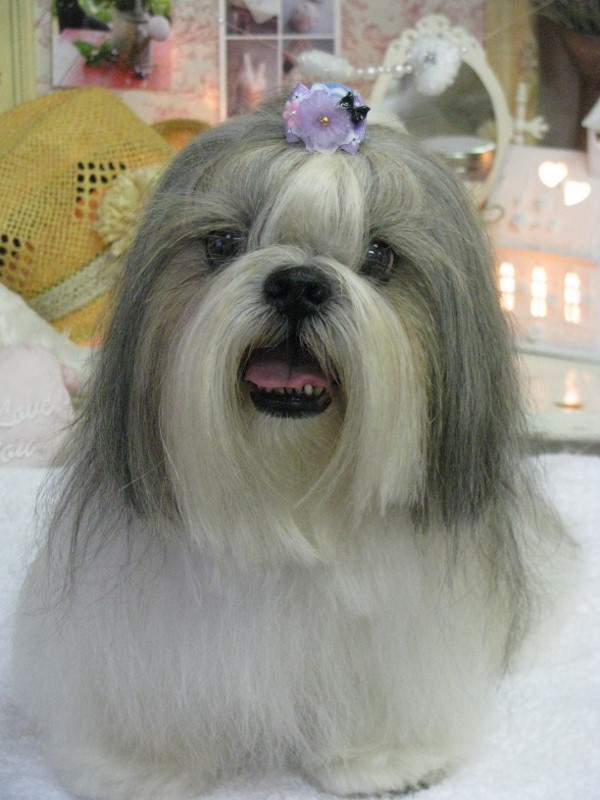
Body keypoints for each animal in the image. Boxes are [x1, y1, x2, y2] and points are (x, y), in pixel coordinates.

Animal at [14, 85, 574, 799]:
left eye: (379, 256)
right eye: (224, 242)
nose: (299, 284)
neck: (284, 498)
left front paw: (379, 757)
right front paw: (143, 765)